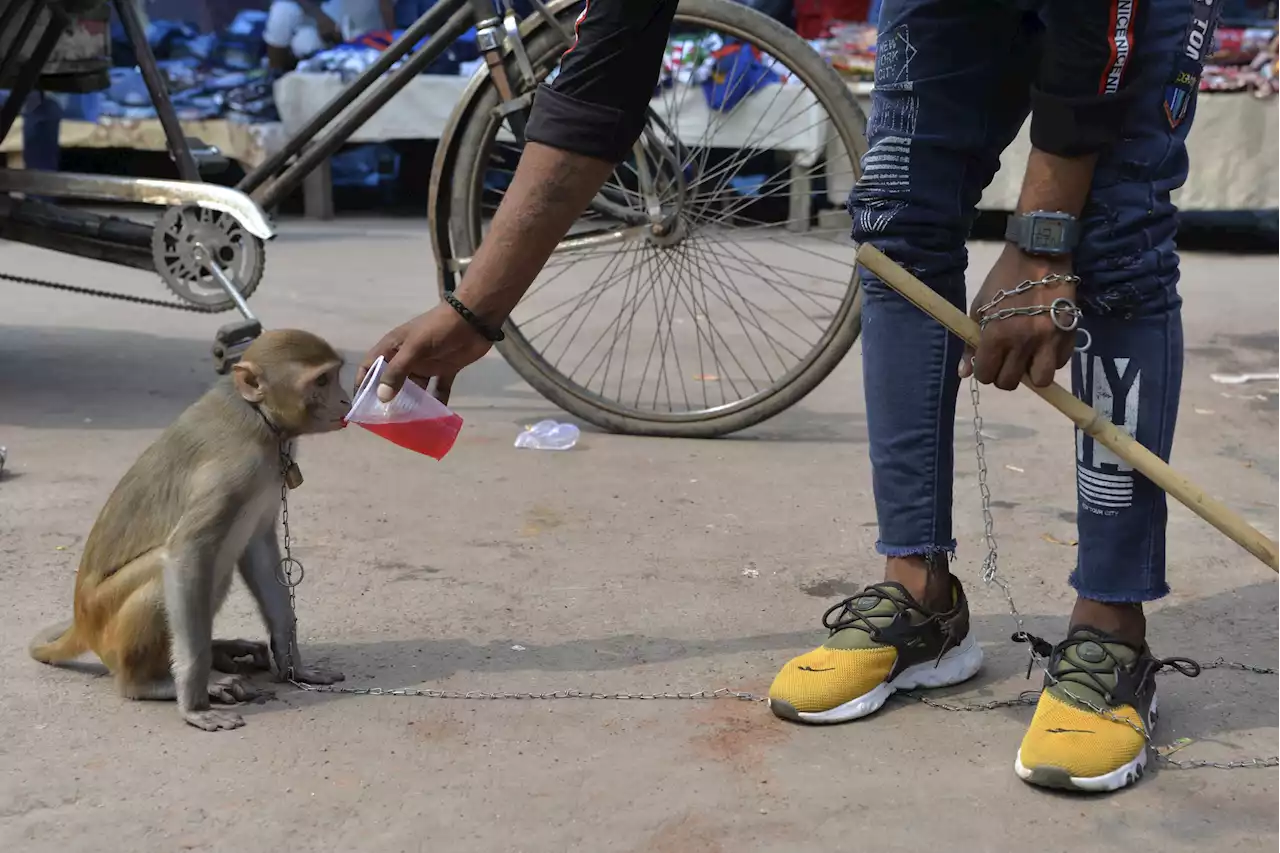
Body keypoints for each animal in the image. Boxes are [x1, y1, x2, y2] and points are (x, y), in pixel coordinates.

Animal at [30, 327, 350, 727]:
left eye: (334, 375)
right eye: (321, 380)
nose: (346, 398)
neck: (259, 420)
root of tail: (81, 620)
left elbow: (259, 548)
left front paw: (293, 665)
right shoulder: (230, 472)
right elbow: (187, 554)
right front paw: (194, 703)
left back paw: (222, 650)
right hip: (106, 619)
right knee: (173, 575)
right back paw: (151, 683)